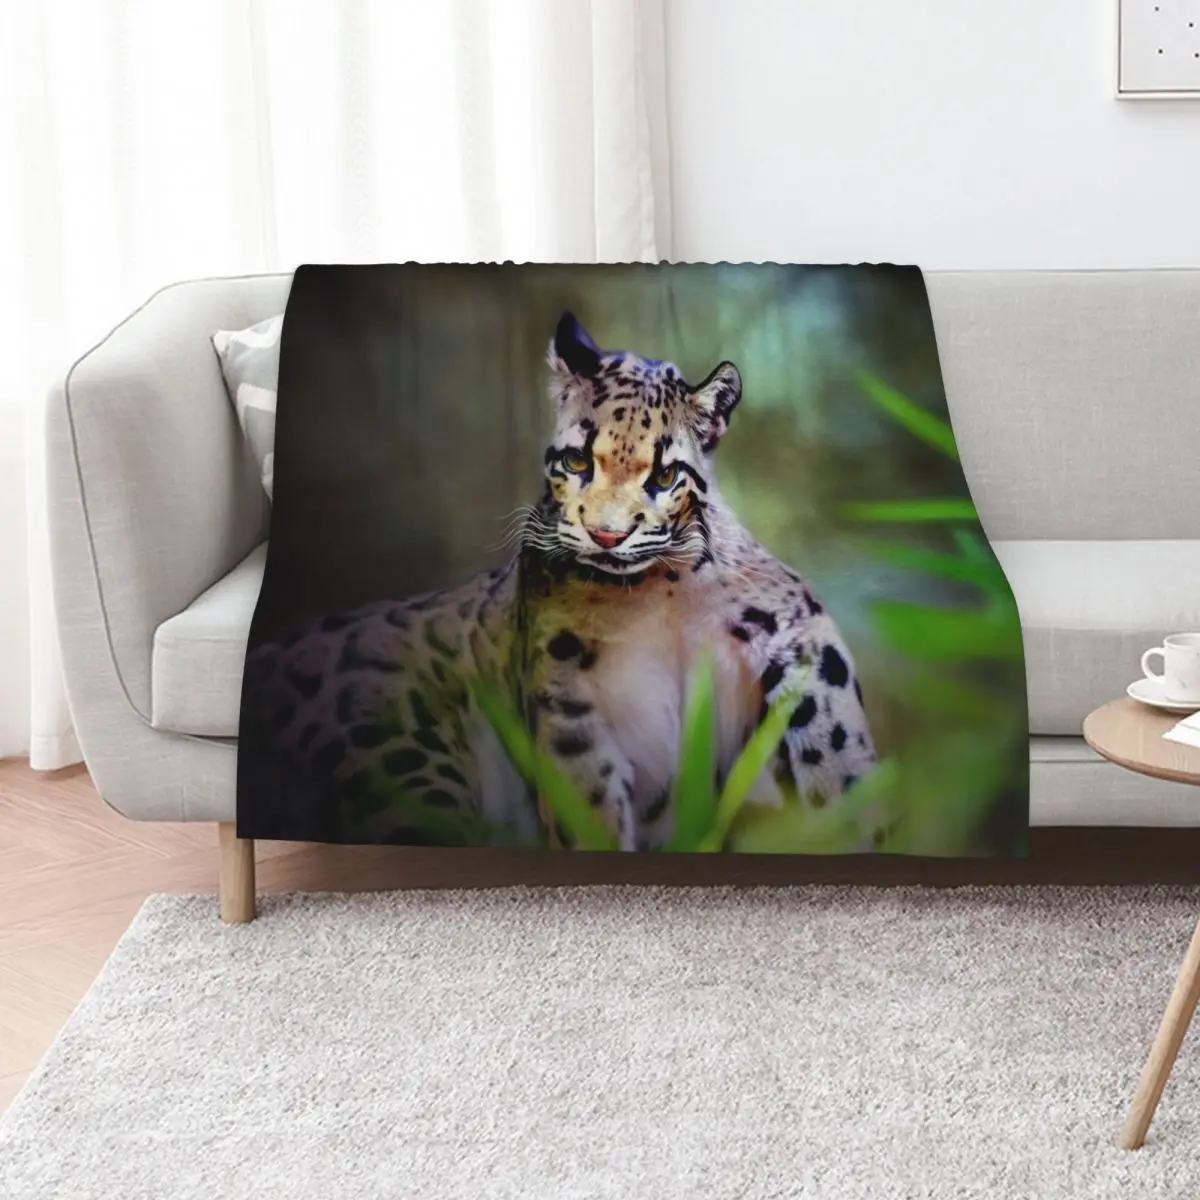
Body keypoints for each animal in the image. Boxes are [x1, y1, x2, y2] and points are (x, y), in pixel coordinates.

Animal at [239, 312, 877, 849]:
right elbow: (589, 816)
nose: (606, 535)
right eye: (577, 462)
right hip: (401, 759)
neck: (655, 591)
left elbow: (834, 754)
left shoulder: (798, 634)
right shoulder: (568, 706)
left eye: (665, 475)